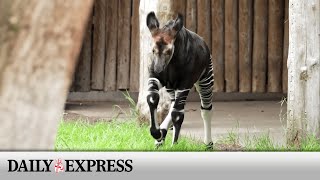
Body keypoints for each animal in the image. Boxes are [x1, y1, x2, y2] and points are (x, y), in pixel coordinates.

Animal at [146, 11, 214, 149]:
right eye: (153, 50)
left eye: (168, 51)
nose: (158, 69)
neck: (171, 65)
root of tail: (205, 43)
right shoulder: (156, 79)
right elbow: (152, 98)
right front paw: (156, 134)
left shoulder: (185, 84)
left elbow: (178, 114)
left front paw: (174, 145)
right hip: (171, 87)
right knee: (173, 104)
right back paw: (161, 136)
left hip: (205, 80)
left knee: (206, 109)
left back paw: (208, 144)